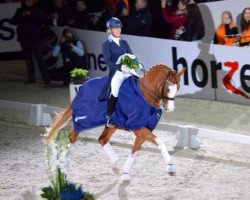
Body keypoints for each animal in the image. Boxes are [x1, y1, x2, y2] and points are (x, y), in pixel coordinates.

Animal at [47, 64, 186, 181]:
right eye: (167, 88)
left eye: (178, 88)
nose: (170, 108)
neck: (145, 95)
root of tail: (82, 86)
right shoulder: (138, 127)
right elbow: (160, 141)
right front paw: (170, 167)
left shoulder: (142, 130)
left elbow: (135, 150)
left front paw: (125, 174)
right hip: (84, 121)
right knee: (71, 138)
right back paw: (62, 168)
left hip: (111, 125)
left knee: (102, 139)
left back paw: (116, 166)